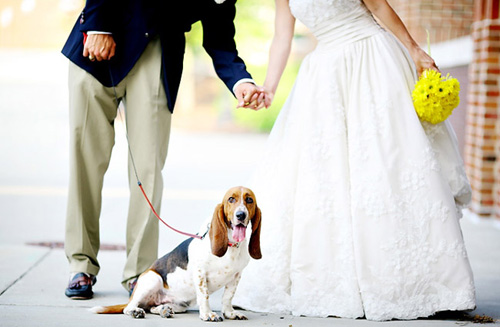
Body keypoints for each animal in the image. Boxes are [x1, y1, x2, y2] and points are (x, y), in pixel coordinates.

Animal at [91, 187, 262, 322]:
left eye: (249, 200)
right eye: (231, 199)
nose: (240, 215)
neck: (232, 245)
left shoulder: (236, 276)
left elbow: (228, 297)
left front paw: (230, 313)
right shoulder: (200, 273)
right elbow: (204, 295)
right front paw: (208, 314)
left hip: (179, 305)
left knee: (152, 308)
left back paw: (164, 310)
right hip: (152, 279)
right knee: (130, 307)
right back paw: (136, 311)